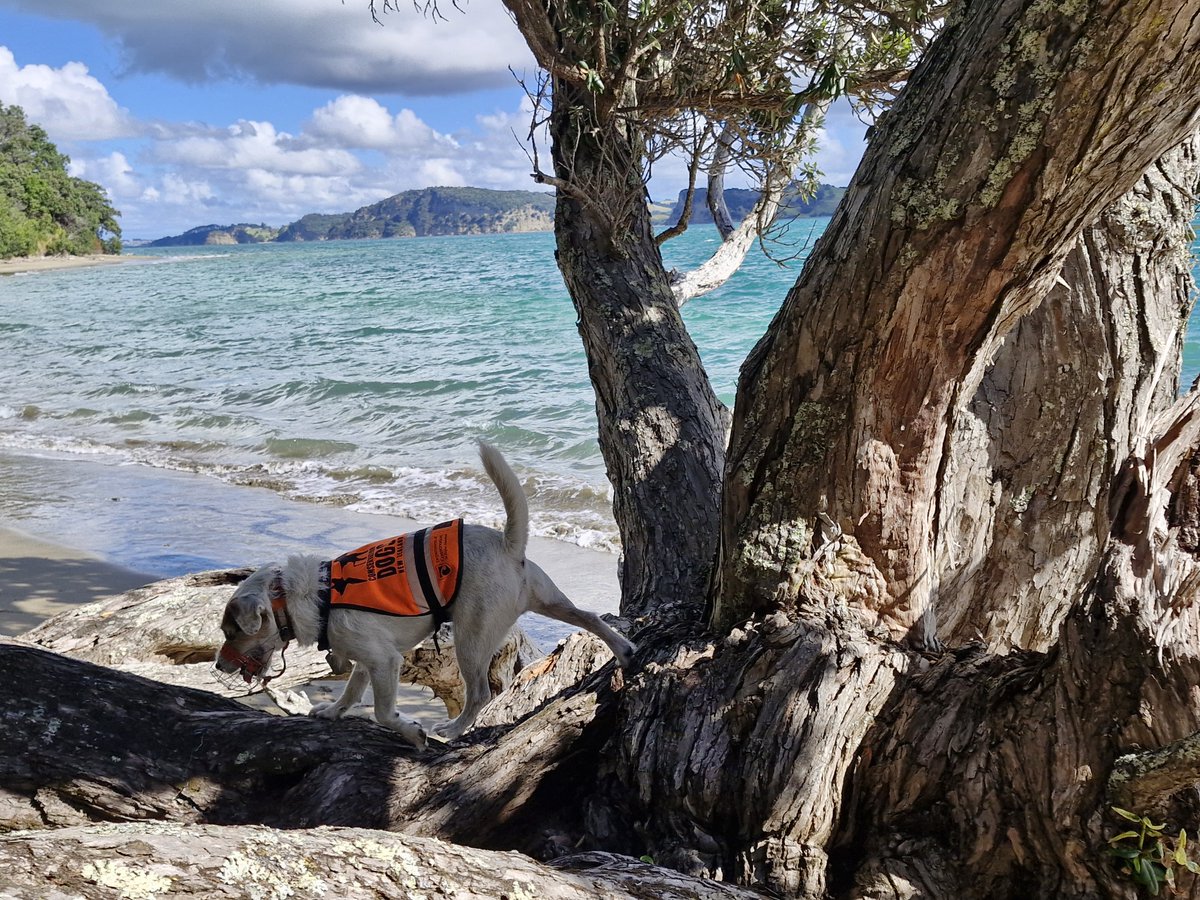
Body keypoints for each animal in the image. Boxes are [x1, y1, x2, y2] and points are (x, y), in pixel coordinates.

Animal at [216, 441, 638, 748]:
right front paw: (333, 711)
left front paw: (410, 732)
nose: (218, 666)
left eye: (232, 631)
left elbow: (383, 712)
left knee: (479, 693)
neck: (313, 596)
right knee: (590, 617)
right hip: (548, 601)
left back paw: (452, 730)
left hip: (471, 638)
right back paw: (623, 651)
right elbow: (352, 691)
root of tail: (507, 544)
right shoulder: (367, 662)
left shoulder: (384, 661)